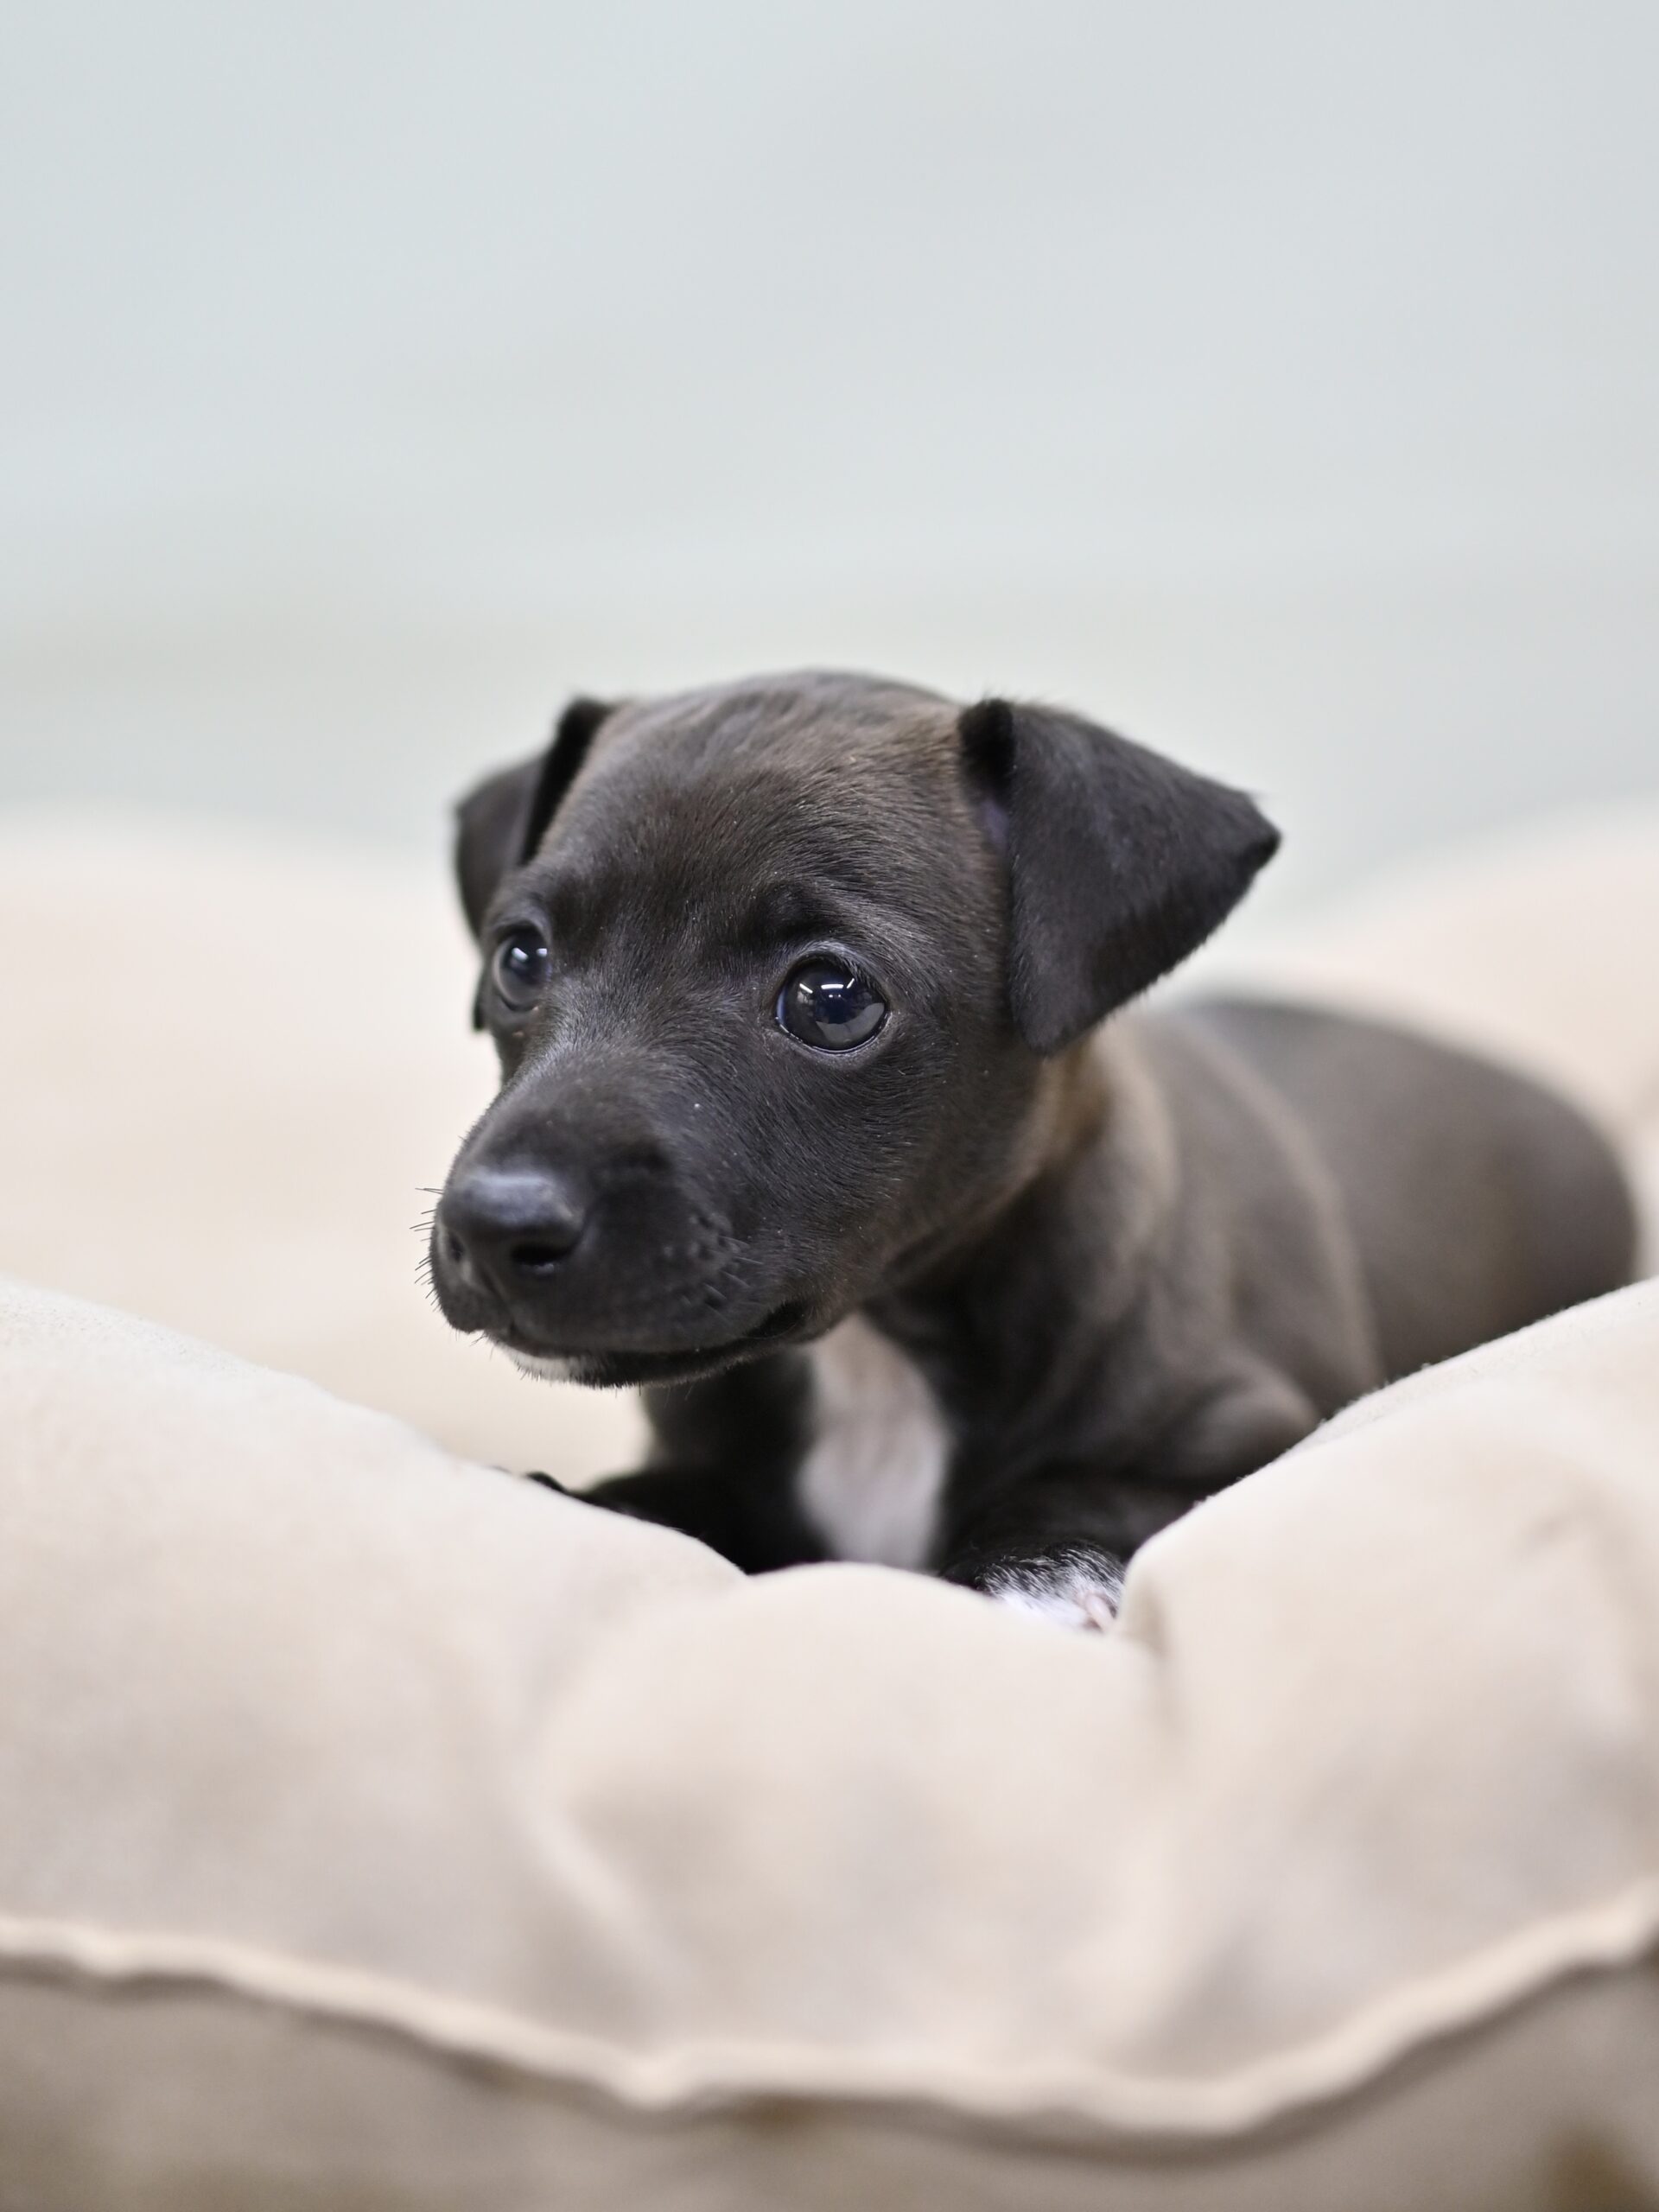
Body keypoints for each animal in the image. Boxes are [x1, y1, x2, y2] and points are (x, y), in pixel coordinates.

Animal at [429, 671, 1637, 1626]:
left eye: (830, 997)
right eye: (520, 959)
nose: (496, 1225)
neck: (880, 1360)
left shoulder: (1262, 1430)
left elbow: (1089, 1484)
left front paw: (1029, 1574)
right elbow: (665, 1505)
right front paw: (578, 1502)